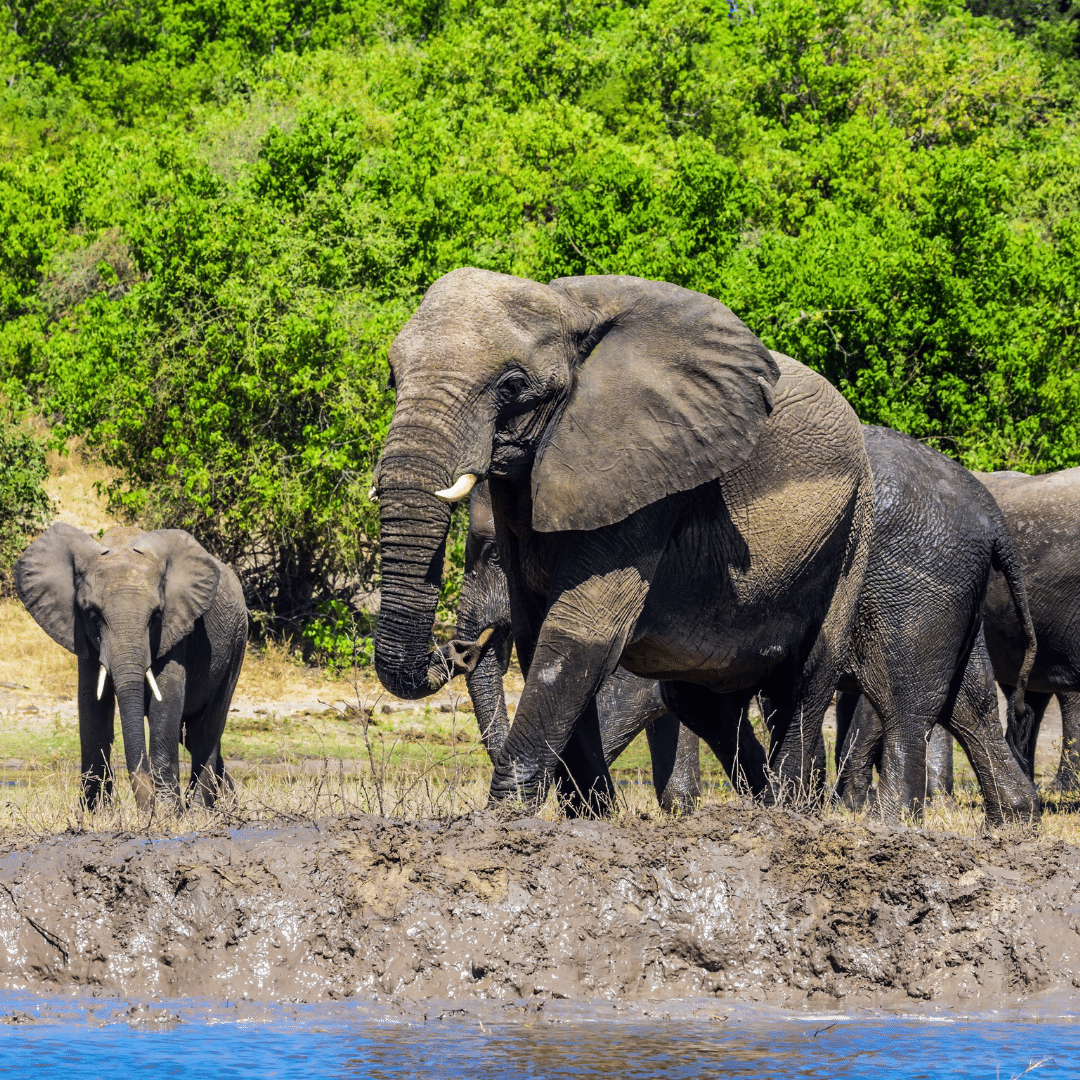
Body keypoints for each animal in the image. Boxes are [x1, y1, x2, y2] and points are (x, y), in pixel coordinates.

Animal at [14, 523, 248, 810]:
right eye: (93, 614)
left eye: (156, 615)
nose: (148, 808)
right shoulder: (82, 635)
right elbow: (92, 704)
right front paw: (94, 814)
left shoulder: (176, 628)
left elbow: (166, 700)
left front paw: (168, 814)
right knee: (192, 735)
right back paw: (229, 808)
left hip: (237, 642)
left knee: (207, 728)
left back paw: (200, 813)